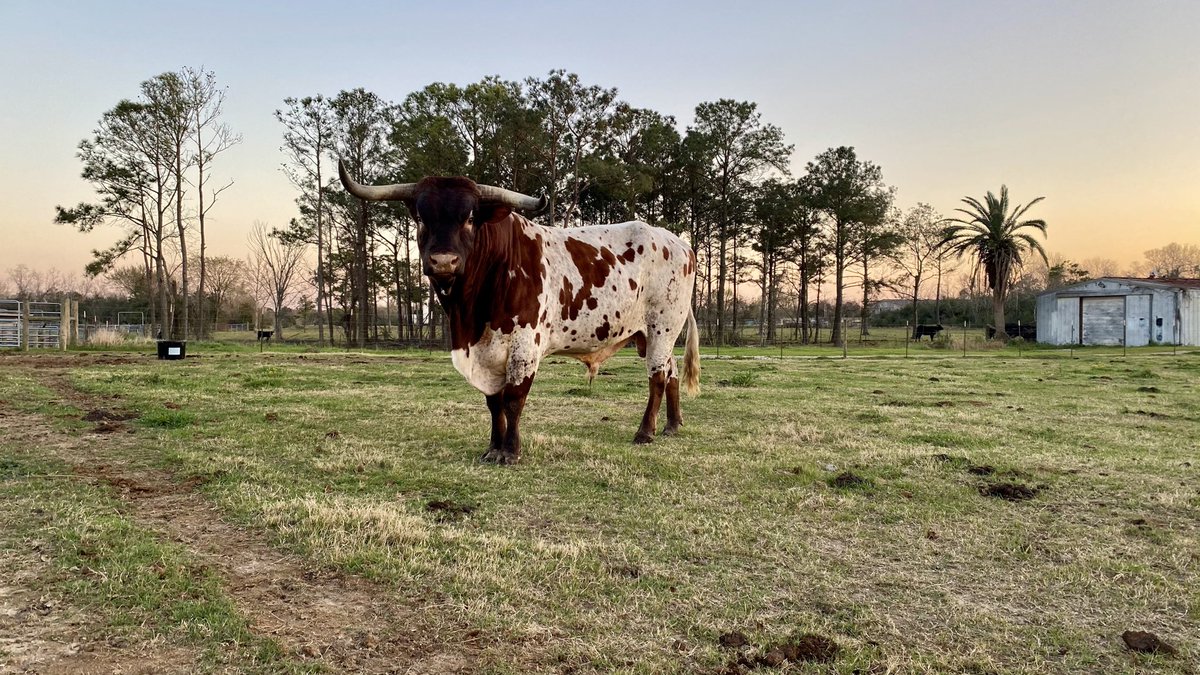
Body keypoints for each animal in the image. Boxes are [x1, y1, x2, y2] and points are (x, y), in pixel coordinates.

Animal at [339, 163, 700, 465]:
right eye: (420, 218)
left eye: (470, 218)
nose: (443, 262)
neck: (471, 313)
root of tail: (680, 243)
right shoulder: (486, 352)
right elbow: (493, 402)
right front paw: (492, 448)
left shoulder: (524, 345)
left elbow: (513, 399)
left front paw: (510, 451)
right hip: (649, 335)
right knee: (670, 373)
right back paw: (672, 426)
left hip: (662, 327)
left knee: (657, 377)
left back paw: (645, 432)